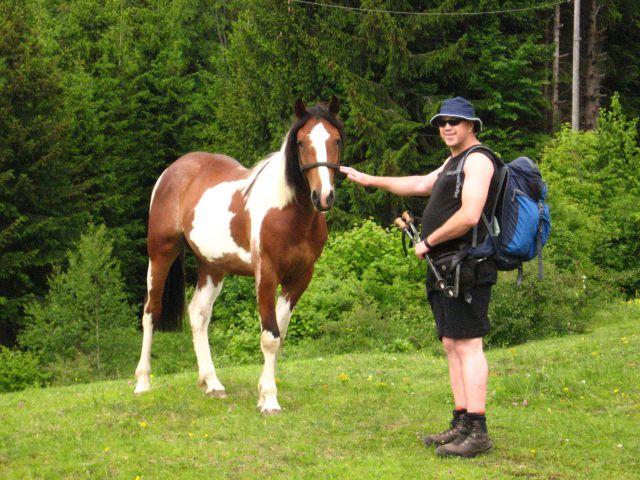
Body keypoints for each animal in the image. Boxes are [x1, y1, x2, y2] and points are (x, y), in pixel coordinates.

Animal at [134, 96, 344, 412]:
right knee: (150, 312)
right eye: (301, 142)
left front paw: (263, 391)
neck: (288, 213)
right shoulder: (266, 275)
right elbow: (269, 336)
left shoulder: (300, 278)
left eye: (336, 140)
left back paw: (212, 383)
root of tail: (173, 172)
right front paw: (269, 399)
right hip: (161, 254)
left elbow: (279, 334)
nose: (323, 196)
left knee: (198, 313)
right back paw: (143, 382)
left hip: (212, 266)